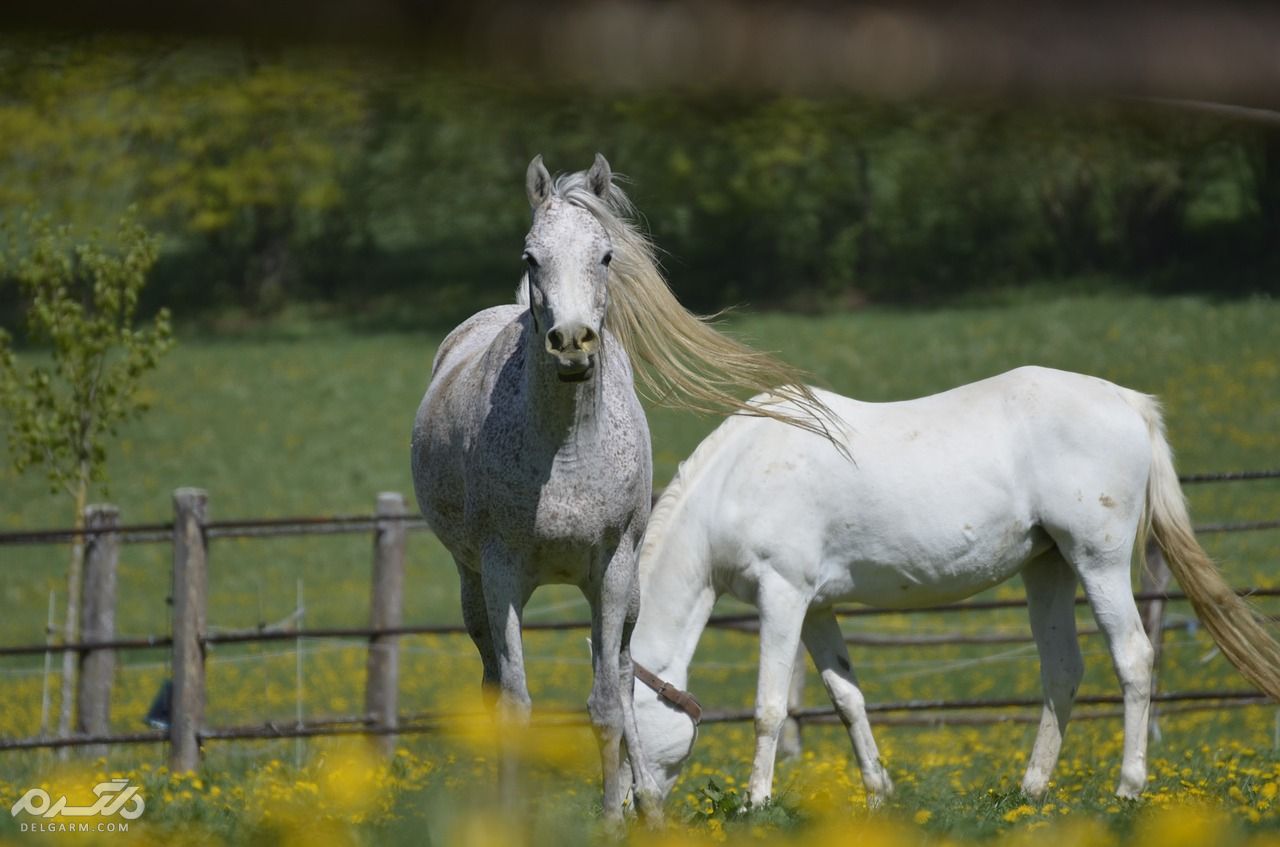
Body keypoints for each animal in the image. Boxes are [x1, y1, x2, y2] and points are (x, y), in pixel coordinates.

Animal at [409, 154, 829, 823]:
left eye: (605, 255)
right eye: (531, 256)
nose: (571, 342)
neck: (566, 452)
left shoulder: (611, 570)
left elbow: (607, 700)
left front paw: (613, 817)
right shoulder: (502, 575)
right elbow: (516, 704)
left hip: (621, 593)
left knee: (627, 675)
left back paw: (648, 805)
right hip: (472, 584)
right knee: (493, 684)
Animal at [627, 371, 1280, 808]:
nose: (636, 810)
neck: (738, 478)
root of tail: (1126, 400)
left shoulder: (783, 595)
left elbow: (768, 707)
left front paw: (755, 803)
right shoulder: (817, 608)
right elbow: (847, 699)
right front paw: (878, 794)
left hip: (1099, 561)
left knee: (1135, 660)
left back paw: (1128, 788)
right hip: (1049, 567)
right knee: (1062, 670)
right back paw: (1031, 790)